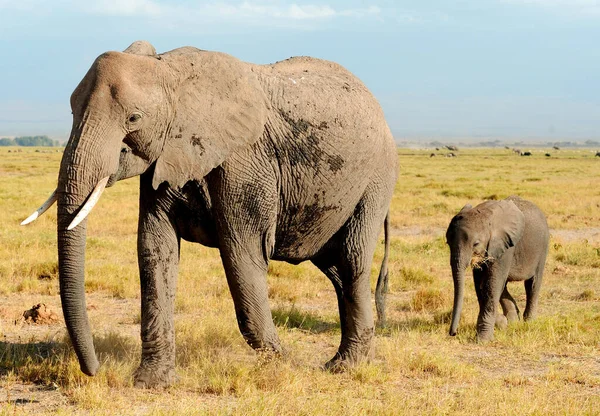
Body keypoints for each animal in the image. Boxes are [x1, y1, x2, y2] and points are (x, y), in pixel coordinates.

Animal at [23, 41, 398, 386]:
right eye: (72, 111)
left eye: (133, 118)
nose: (95, 370)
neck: (172, 72)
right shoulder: (167, 157)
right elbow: (155, 250)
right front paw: (152, 383)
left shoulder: (246, 161)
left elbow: (242, 254)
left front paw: (285, 362)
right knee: (336, 269)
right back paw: (355, 359)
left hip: (376, 180)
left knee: (351, 261)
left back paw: (344, 367)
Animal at [446, 196, 548, 342]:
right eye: (448, 242)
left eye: (476, 244)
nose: (453, 333)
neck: (485, 215)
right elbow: (481, 284)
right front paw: (500, 323)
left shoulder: (505, 246)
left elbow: (492, 284)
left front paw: (482, 340)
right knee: (504, 286)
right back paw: (513, 322)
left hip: (542, 247)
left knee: (532, 284)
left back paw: (529, 322)